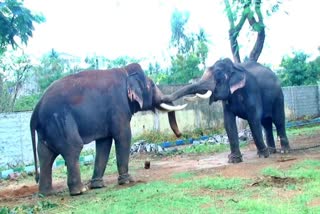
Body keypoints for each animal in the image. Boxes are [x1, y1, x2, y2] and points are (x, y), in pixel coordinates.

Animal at [30, 63, 186, 196]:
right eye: (151, 85)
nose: (179, 134)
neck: (126, 72)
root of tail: (35, 111)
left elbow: (104, 142)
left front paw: (98, 185)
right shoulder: (118, 107)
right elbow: (123, 136)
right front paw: (128, 181)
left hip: (48, 129)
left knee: (45, 155)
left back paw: (46, 193)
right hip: (60, 121)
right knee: (73, 148)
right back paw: (80, 190)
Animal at [162, 57, 290, 163]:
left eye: (218, 75)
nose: (179, 134)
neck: (234, 67)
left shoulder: (252, 91)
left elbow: (253, 120)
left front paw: (263, 155)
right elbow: (228, 122)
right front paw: (234, 160)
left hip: (278, 96)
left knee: (278, 121)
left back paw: (284, 151)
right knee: (266, 123)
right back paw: (272, 151)